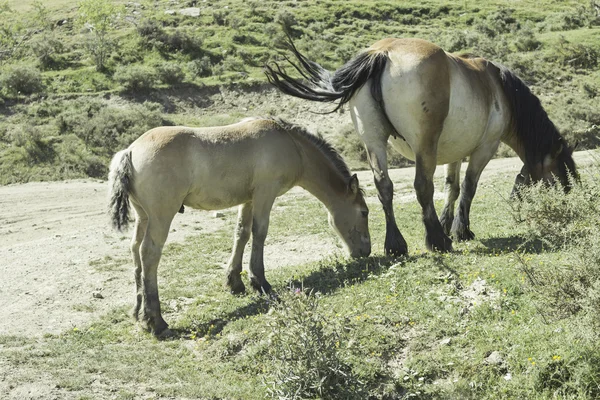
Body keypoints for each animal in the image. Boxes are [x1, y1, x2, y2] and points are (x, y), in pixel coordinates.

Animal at [108, 117, 370, 336]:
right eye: (364, 212)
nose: (365, 252)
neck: (291, 144)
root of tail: (129, 151)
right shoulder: (265, 194)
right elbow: (260, 233)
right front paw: (260, 281)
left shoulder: (249, 199)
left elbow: (242, 233)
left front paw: (235, 282)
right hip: (161, 216)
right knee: (149, 254)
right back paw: (156, 320)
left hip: (143, 216)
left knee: (135, 251)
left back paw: (138, 313)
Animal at [266, 38, 576, 256]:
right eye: (561, 178)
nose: (567, 209)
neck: (498, 88)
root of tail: (383, 53)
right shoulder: (484, 149)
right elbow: (468, 187)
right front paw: (459, 231)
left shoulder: (454, 153)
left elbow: (452, 187)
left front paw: (448, 224)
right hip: (423, 147)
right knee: (422, 186)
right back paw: (437, 241)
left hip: (374, 143)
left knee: (384, 186)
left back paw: (396, 245)